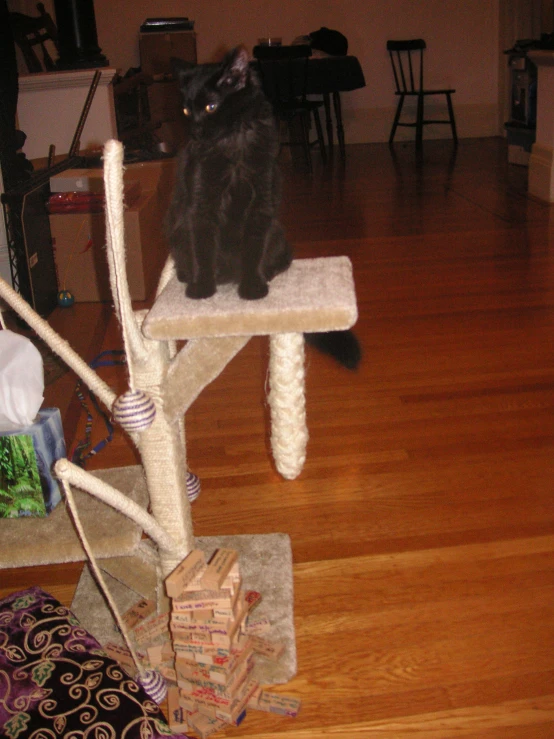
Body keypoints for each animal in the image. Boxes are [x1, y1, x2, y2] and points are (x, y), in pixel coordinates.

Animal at [166, 45, 360, 368]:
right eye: (185, 110)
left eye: (211, 107)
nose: (194, 130)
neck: (232, 144)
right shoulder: (201, 205)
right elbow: (203, 249)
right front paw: (202, 287)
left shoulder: (261, 204)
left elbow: (253, 249)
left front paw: (253, 287)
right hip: (178, 232)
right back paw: (188, 276)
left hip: (278, 234)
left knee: (282, 259)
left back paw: (266, 272)